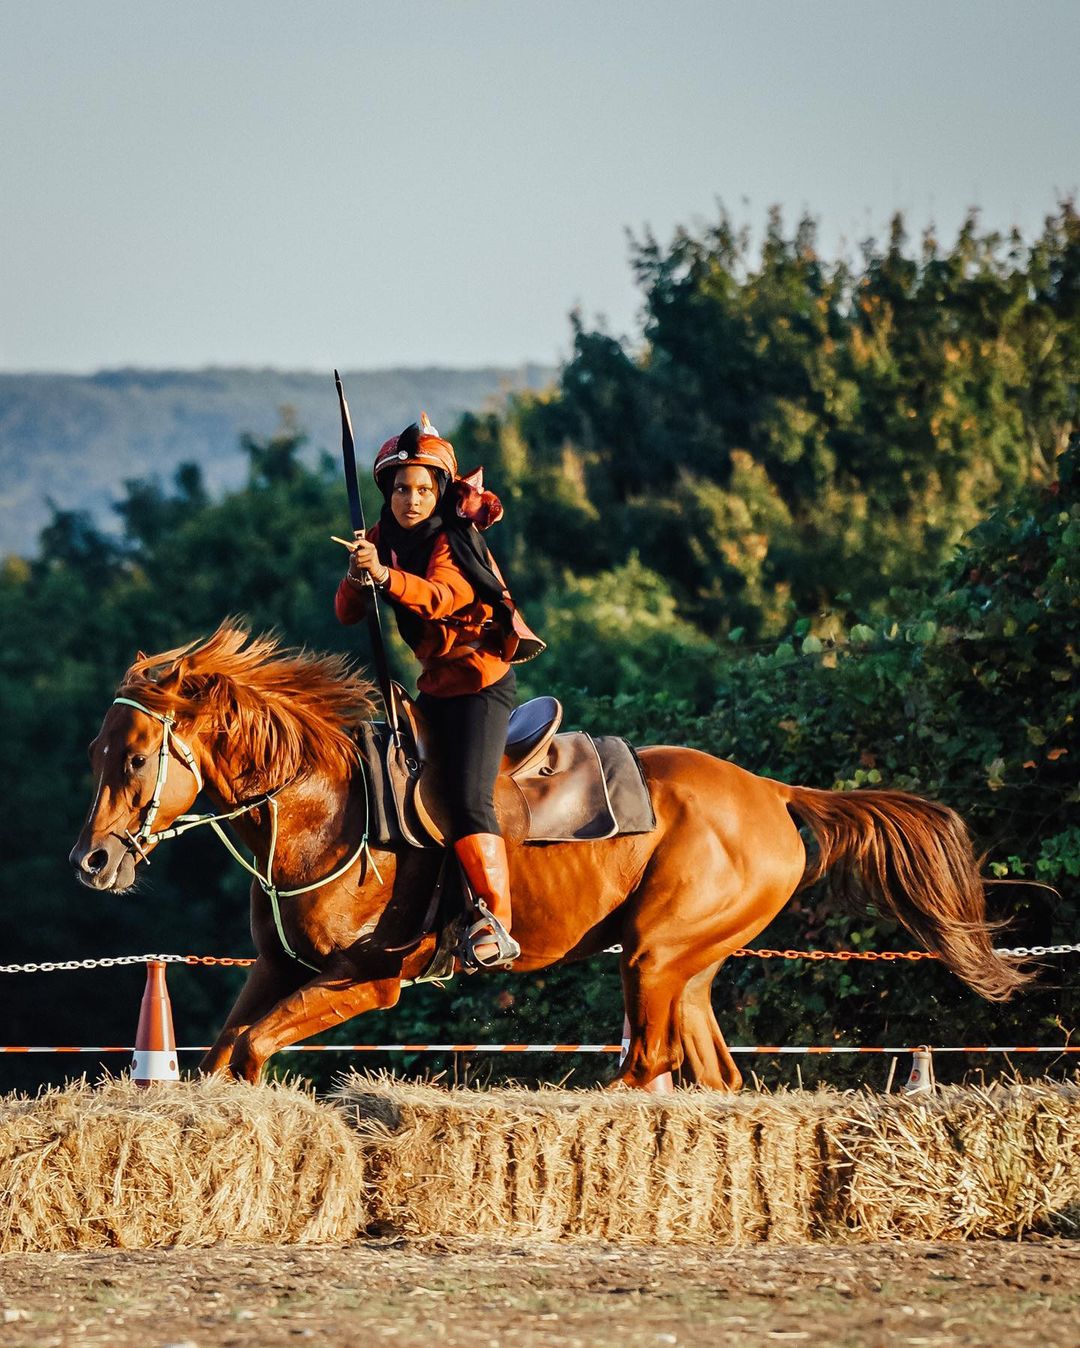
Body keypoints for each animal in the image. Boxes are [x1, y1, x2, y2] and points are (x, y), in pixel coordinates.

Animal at [69, 625, 1030, 1089]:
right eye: (96, 750)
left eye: (136, 757)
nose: (91, 864)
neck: (328, 812)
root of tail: (771, 792)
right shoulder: (277, 971)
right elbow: (226, 1052)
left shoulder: (367, 983)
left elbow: (250, 1049)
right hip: (687, 966)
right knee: (712, 1073)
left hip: (655, 956)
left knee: (647, 1066)